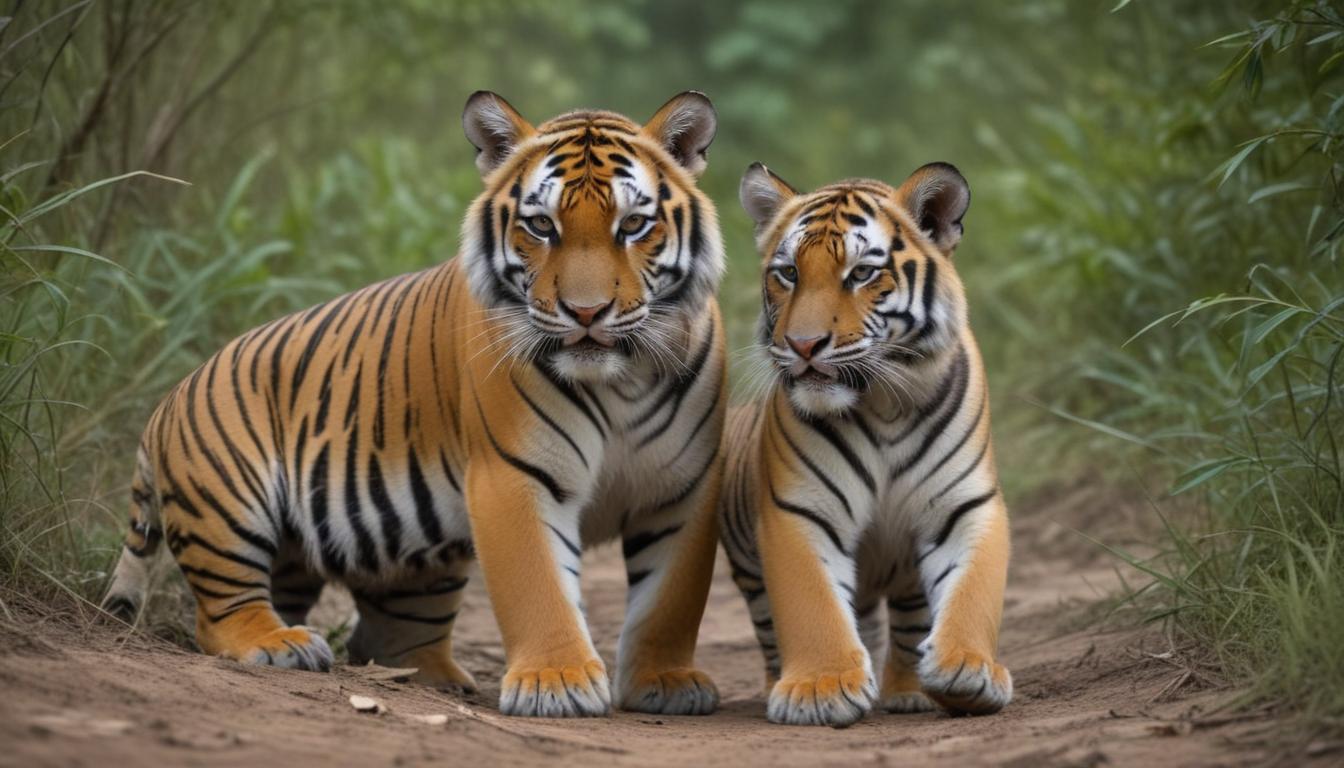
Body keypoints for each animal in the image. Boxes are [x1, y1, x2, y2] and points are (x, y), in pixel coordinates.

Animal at [101, 91, 728, 719]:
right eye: (542, 225)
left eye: (634, 225)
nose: (587, 312)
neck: (619, 381)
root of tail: (168, 401)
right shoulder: (515, 476)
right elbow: (539, 585)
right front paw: (558, 682)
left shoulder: (683, 490)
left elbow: (670, 599)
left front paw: (664, 681)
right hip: (229, 503)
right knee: (220, 613)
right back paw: (280, 644)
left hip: (411, 560)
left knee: (381, 637)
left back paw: (434, 677)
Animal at [718, 162, 1012, 726]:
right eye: (788, 273)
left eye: (860, 274)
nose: (803, 345)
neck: (883, 403)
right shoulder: (799, 509)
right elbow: (813, 603)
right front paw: (820, 688)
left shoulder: (966, 505)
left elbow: (973, 592)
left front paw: (970, 669)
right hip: (748, 571)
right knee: (772, 629)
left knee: (909, 623)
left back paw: (909, 690)